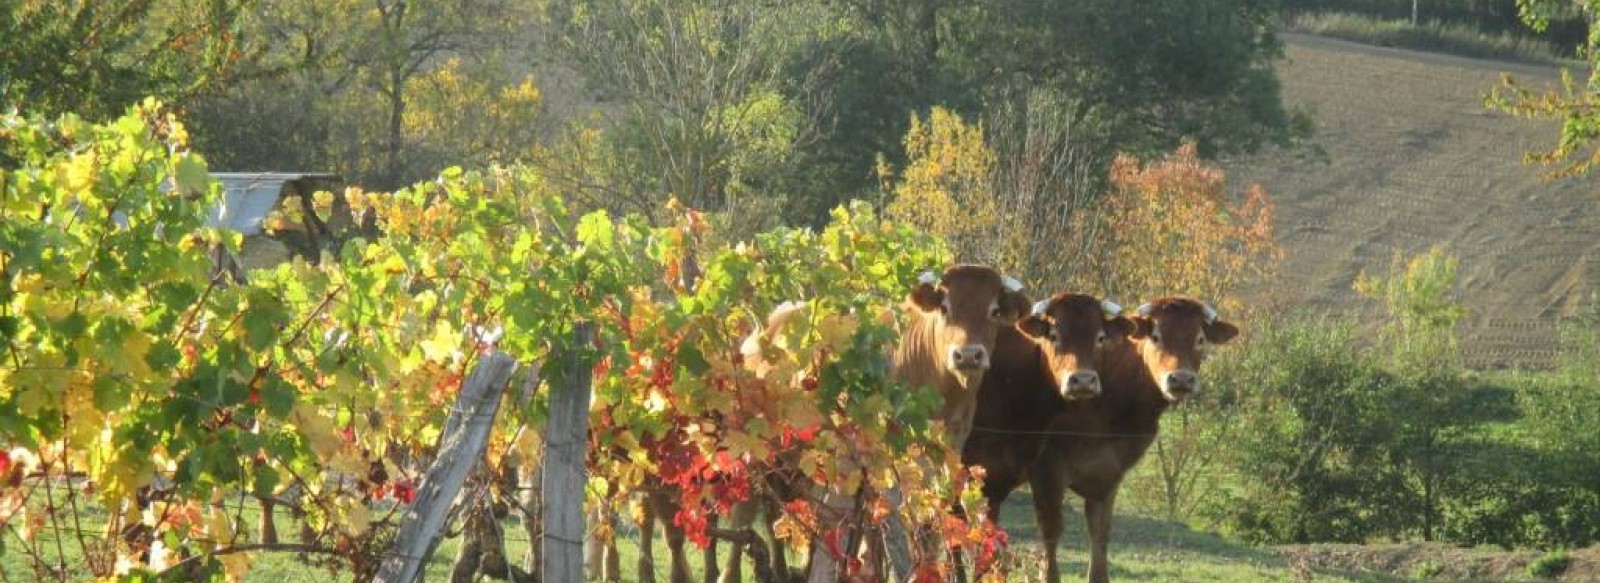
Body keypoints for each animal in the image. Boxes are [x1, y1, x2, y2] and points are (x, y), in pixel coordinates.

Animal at [1024, 296, 1235, 583]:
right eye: (1156, 336)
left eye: (1200, 339)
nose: (1181, 379)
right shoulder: (1047, 469)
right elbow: (1051, 533)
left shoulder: (1109, 474)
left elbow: (1100, 534)